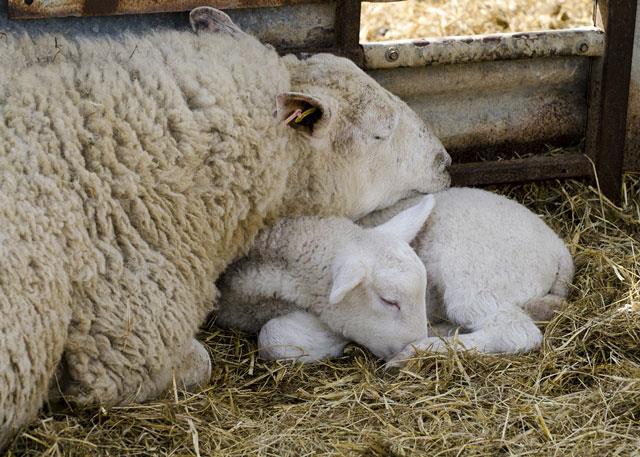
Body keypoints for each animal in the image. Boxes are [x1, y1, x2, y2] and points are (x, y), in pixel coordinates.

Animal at [215, 186, 576, 364]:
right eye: (389, 301)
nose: (412, 338)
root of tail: (558, 247)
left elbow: (274, 337)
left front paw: (333, 342)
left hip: (473, 272)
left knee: (515, 331)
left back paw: (416, 352)